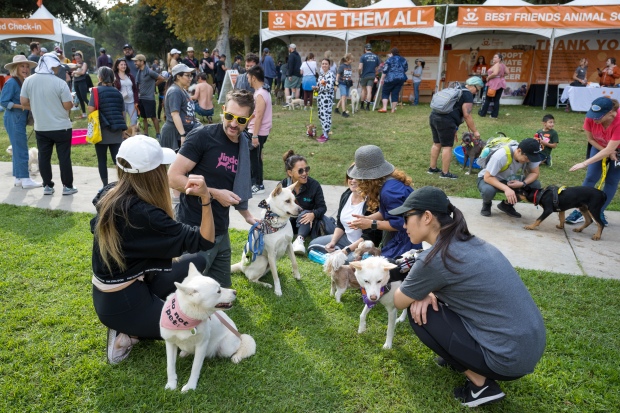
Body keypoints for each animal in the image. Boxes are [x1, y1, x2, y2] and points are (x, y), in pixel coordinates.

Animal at [162, 262, 256, 392]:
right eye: (218, 291)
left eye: (220, 287)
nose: (235, 292)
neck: (186, 318)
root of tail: (238, 334)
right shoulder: (170, 343)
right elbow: (170, 366)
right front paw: (171, 384)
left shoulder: (202, 346)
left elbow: (195, 368)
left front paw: (190, 387)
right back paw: (184, 352)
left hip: (225, 348)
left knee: (238, 349)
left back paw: (237, 356)